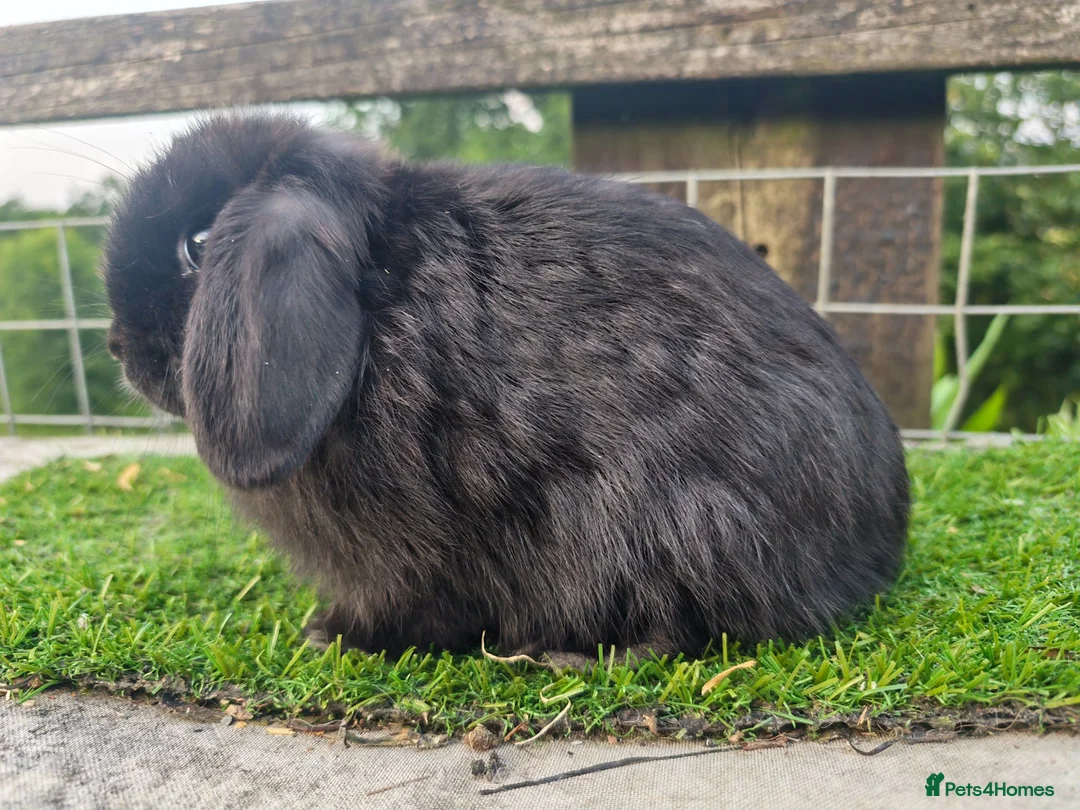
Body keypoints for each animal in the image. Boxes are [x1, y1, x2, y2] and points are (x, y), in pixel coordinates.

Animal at [103, 112, 910, 665]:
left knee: (681, 628)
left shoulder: (411, 552)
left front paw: (333, 636)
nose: (117, 347)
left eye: (199, 246)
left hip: (679, 523)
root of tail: (876, 550)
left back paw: (568, 656)